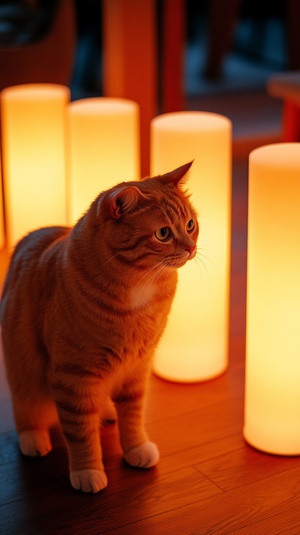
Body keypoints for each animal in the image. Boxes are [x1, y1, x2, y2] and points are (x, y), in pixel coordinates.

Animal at [0, 162, 199, 494]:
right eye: (163, 233)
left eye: (190, 225)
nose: (191, 247)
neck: (140, 291)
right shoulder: (72, 377)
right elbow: (81, 433)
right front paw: (88, 470)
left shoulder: (137, 369)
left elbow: (133, 416)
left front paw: (135, 447)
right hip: (23, 371)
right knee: (26, 408)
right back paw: (34, 439)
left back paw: (105, 412)